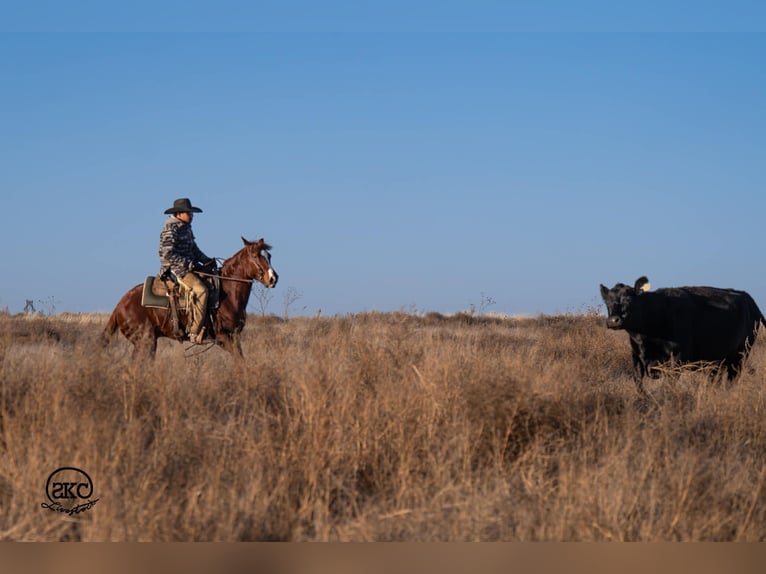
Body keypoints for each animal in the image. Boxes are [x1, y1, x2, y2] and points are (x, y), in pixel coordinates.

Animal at [102, 237, 278, 357]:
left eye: (269, 255)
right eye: (255, 256)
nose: (273, 278)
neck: (227, 295)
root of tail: (119, 305)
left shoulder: (235, 336)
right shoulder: (223, 337)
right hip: (146, 342)